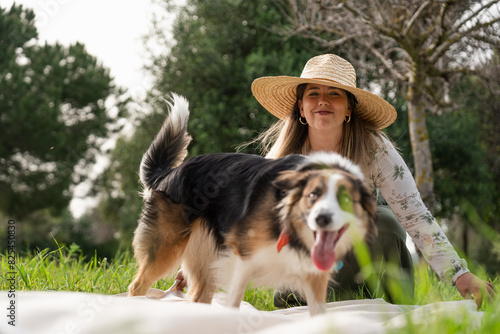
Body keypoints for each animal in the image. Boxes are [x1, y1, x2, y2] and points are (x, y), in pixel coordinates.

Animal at [127, 94, 376, 316]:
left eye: (346, 200)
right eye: (312, 195)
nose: (322, 219)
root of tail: (168, 174)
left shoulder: (313, 274)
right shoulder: (242, 259)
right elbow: (234, 303)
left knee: (198, 298)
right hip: (167, 246)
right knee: (137, 286)